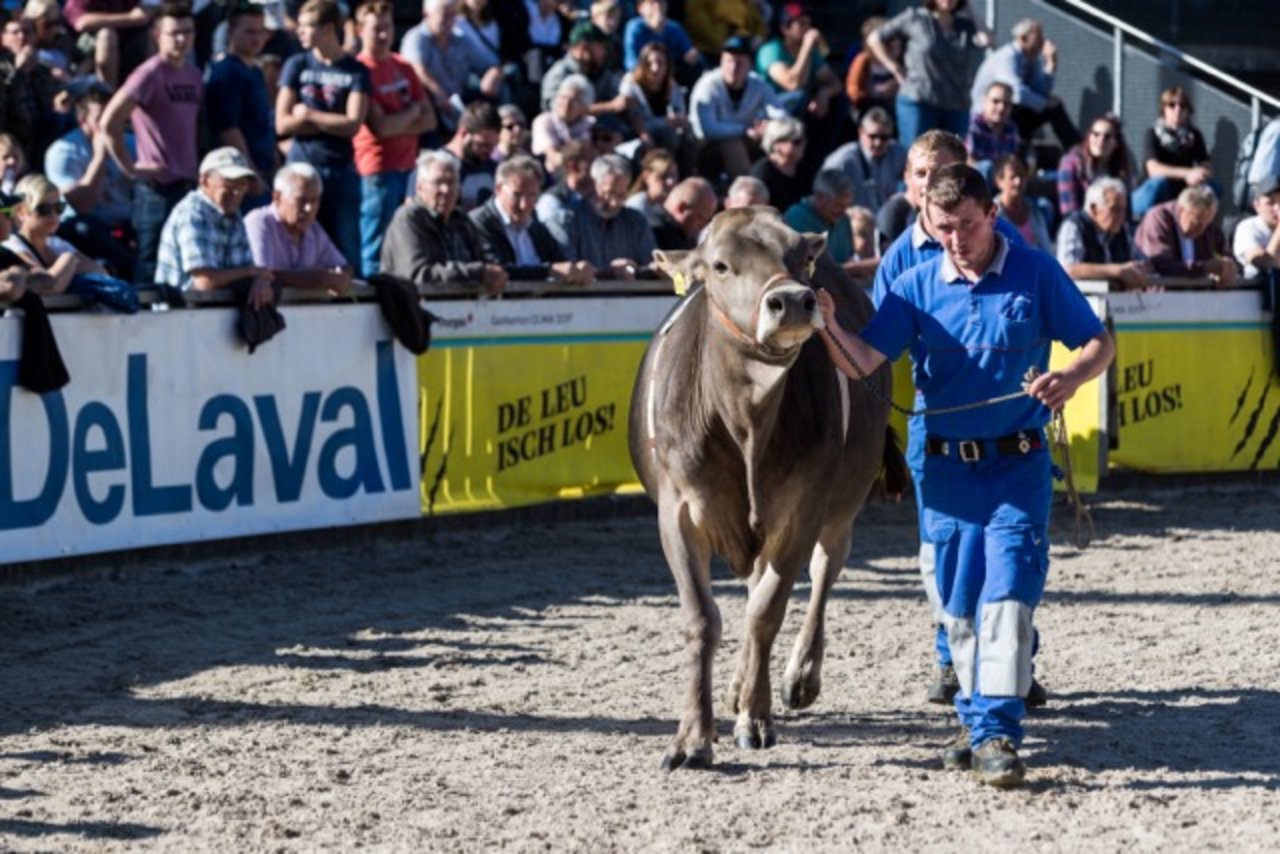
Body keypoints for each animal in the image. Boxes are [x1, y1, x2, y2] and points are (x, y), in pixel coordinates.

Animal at [627, 208, 906, 773]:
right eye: (719, 264)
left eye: (800, 256)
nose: (794, 300)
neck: (744, 421)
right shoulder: (678, 513)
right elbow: (702, 618)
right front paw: (692, 738)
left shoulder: (801, 511)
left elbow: (766, 612)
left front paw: (755, 720)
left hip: (843, 504)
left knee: (823, 571)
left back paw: (799, 677)